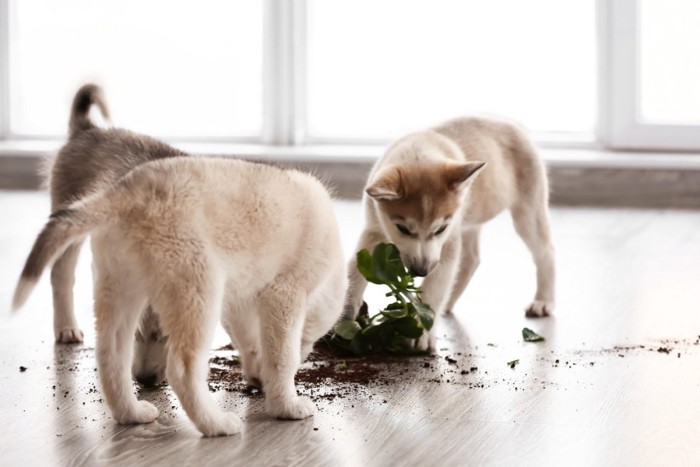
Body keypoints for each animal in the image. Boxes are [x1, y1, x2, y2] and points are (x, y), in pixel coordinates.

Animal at [12, 155, 346, 436]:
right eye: (307, 340)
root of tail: (125, 192)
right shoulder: (284, 294)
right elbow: (281, 357)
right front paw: (286, 406)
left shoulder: (240, 302)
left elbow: (254, 345)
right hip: (197, 291)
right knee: (182, 370)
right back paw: (216, 425)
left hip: (120, 288)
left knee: (111, 357)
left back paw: (131, 414)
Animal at [344, 117, 552, 352]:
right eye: (403, 229)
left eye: (440, 229)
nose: (421, 271)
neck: (420, 149)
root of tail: (510, 123)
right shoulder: (373, 231)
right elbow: (355, 269)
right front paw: (346, 310)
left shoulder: (448, 242)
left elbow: (435, 287)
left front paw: (422, 329)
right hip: (470, 220)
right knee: (471, 259)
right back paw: (449, 301)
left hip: (527, 212)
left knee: (545, 253)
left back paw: (543, 301)